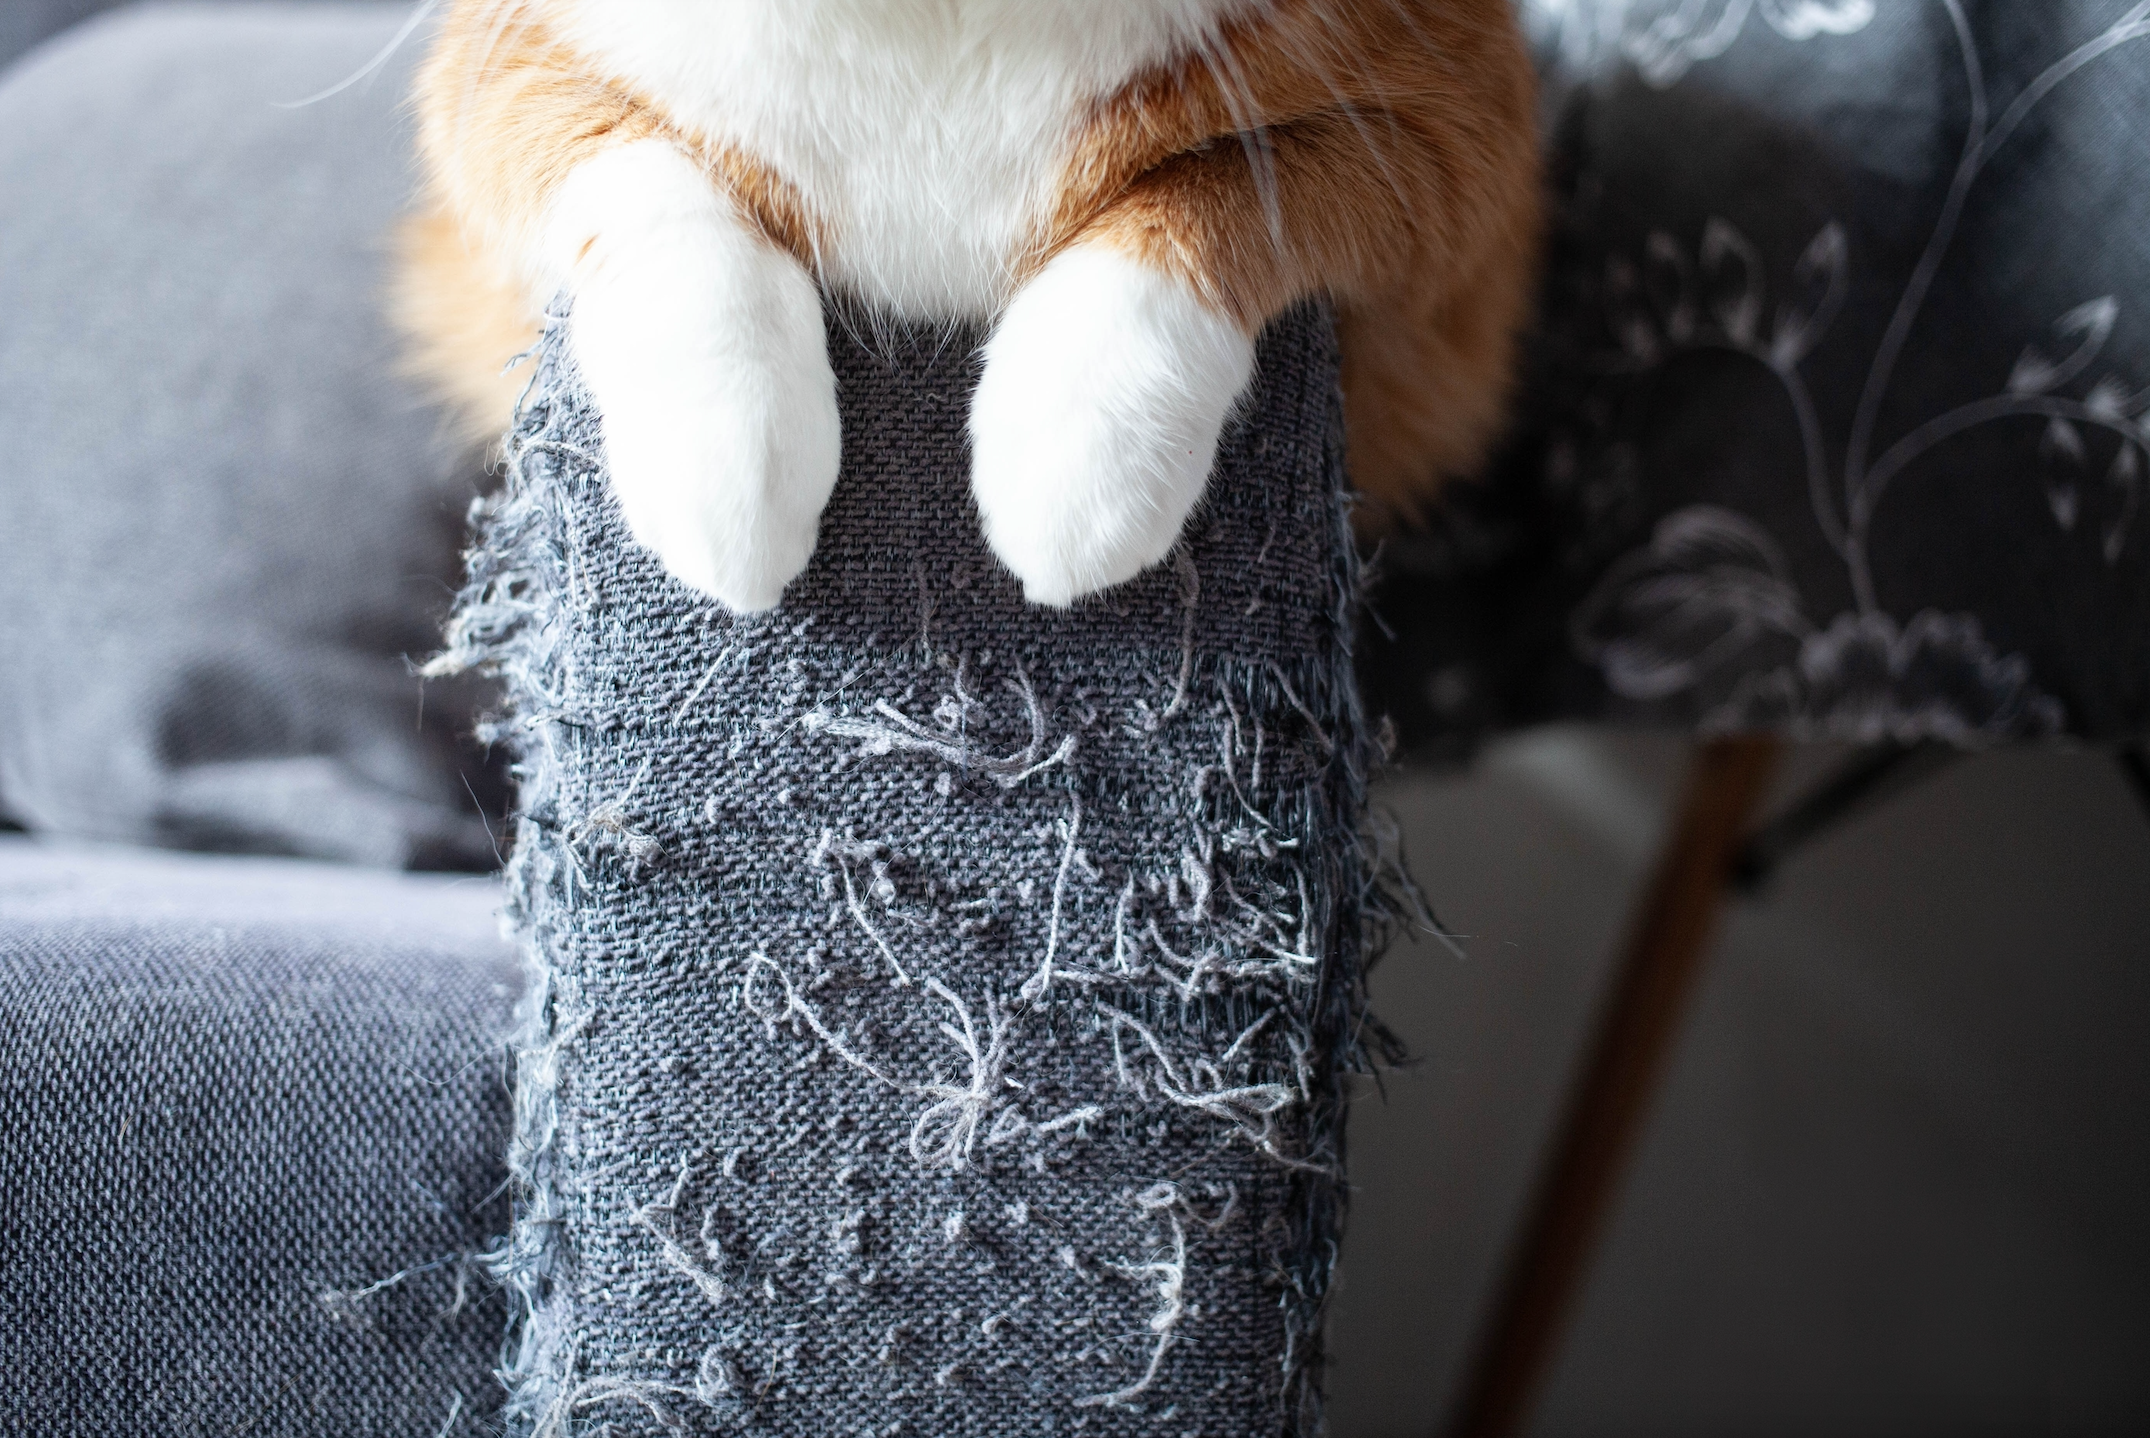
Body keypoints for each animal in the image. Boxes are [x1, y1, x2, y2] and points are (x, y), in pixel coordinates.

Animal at [395, 0, 1539, 610]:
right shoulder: (501, 68)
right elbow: (657, 183)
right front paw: (726, 460)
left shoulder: (1453, 154)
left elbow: (1212, 192)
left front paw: (1081, 451)